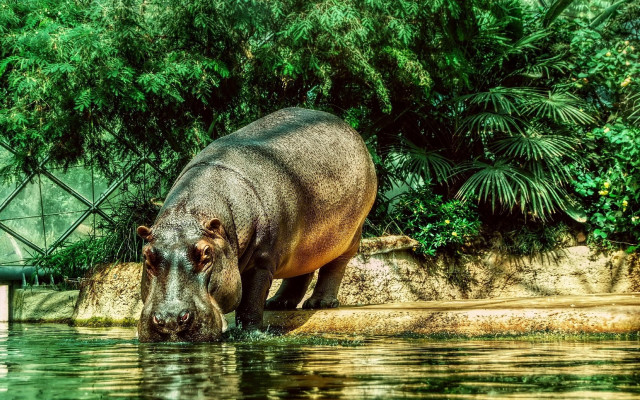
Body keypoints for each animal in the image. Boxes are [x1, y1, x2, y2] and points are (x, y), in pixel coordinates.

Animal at [136, 107, 377, 342]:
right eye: (146, 256)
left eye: (206, 253)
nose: (171, 320)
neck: (190, 214)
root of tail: (349, 129)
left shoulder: (261, 261)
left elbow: (250, 302)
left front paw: (250, 334)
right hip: (305, 243)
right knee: (302, 271)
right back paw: (278, 303)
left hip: (350, 235)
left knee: (335, 266)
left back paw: (319, 303)